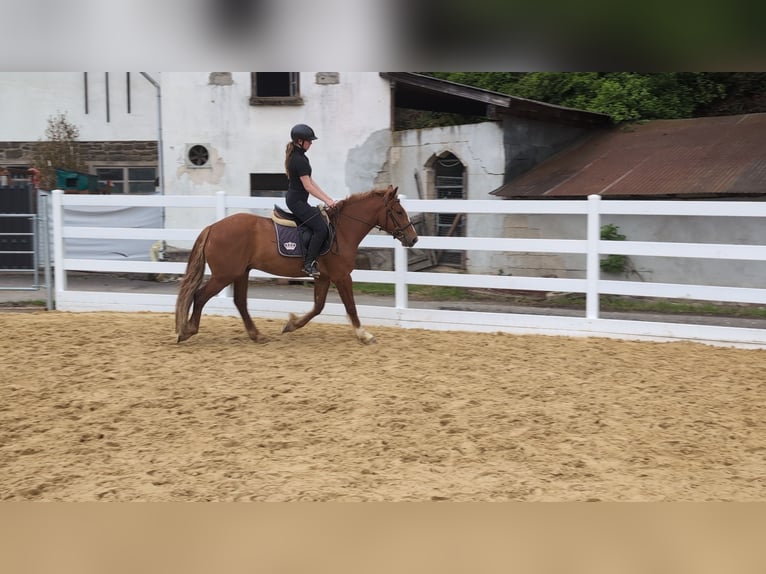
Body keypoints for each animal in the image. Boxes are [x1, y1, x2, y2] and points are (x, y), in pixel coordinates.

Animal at [175, 185, 418, 344]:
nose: (413, 239)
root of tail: (213, 227)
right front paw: (364, 334)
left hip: (241, 272)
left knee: (240, 302)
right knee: (200, 296)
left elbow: (318, 307)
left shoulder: (323, 276)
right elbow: (350, 306)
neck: (342, 230)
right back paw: (188, 330)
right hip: (224, 275)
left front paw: (291, 324)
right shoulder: (341, 276)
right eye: (398, 212)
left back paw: (256, 335)